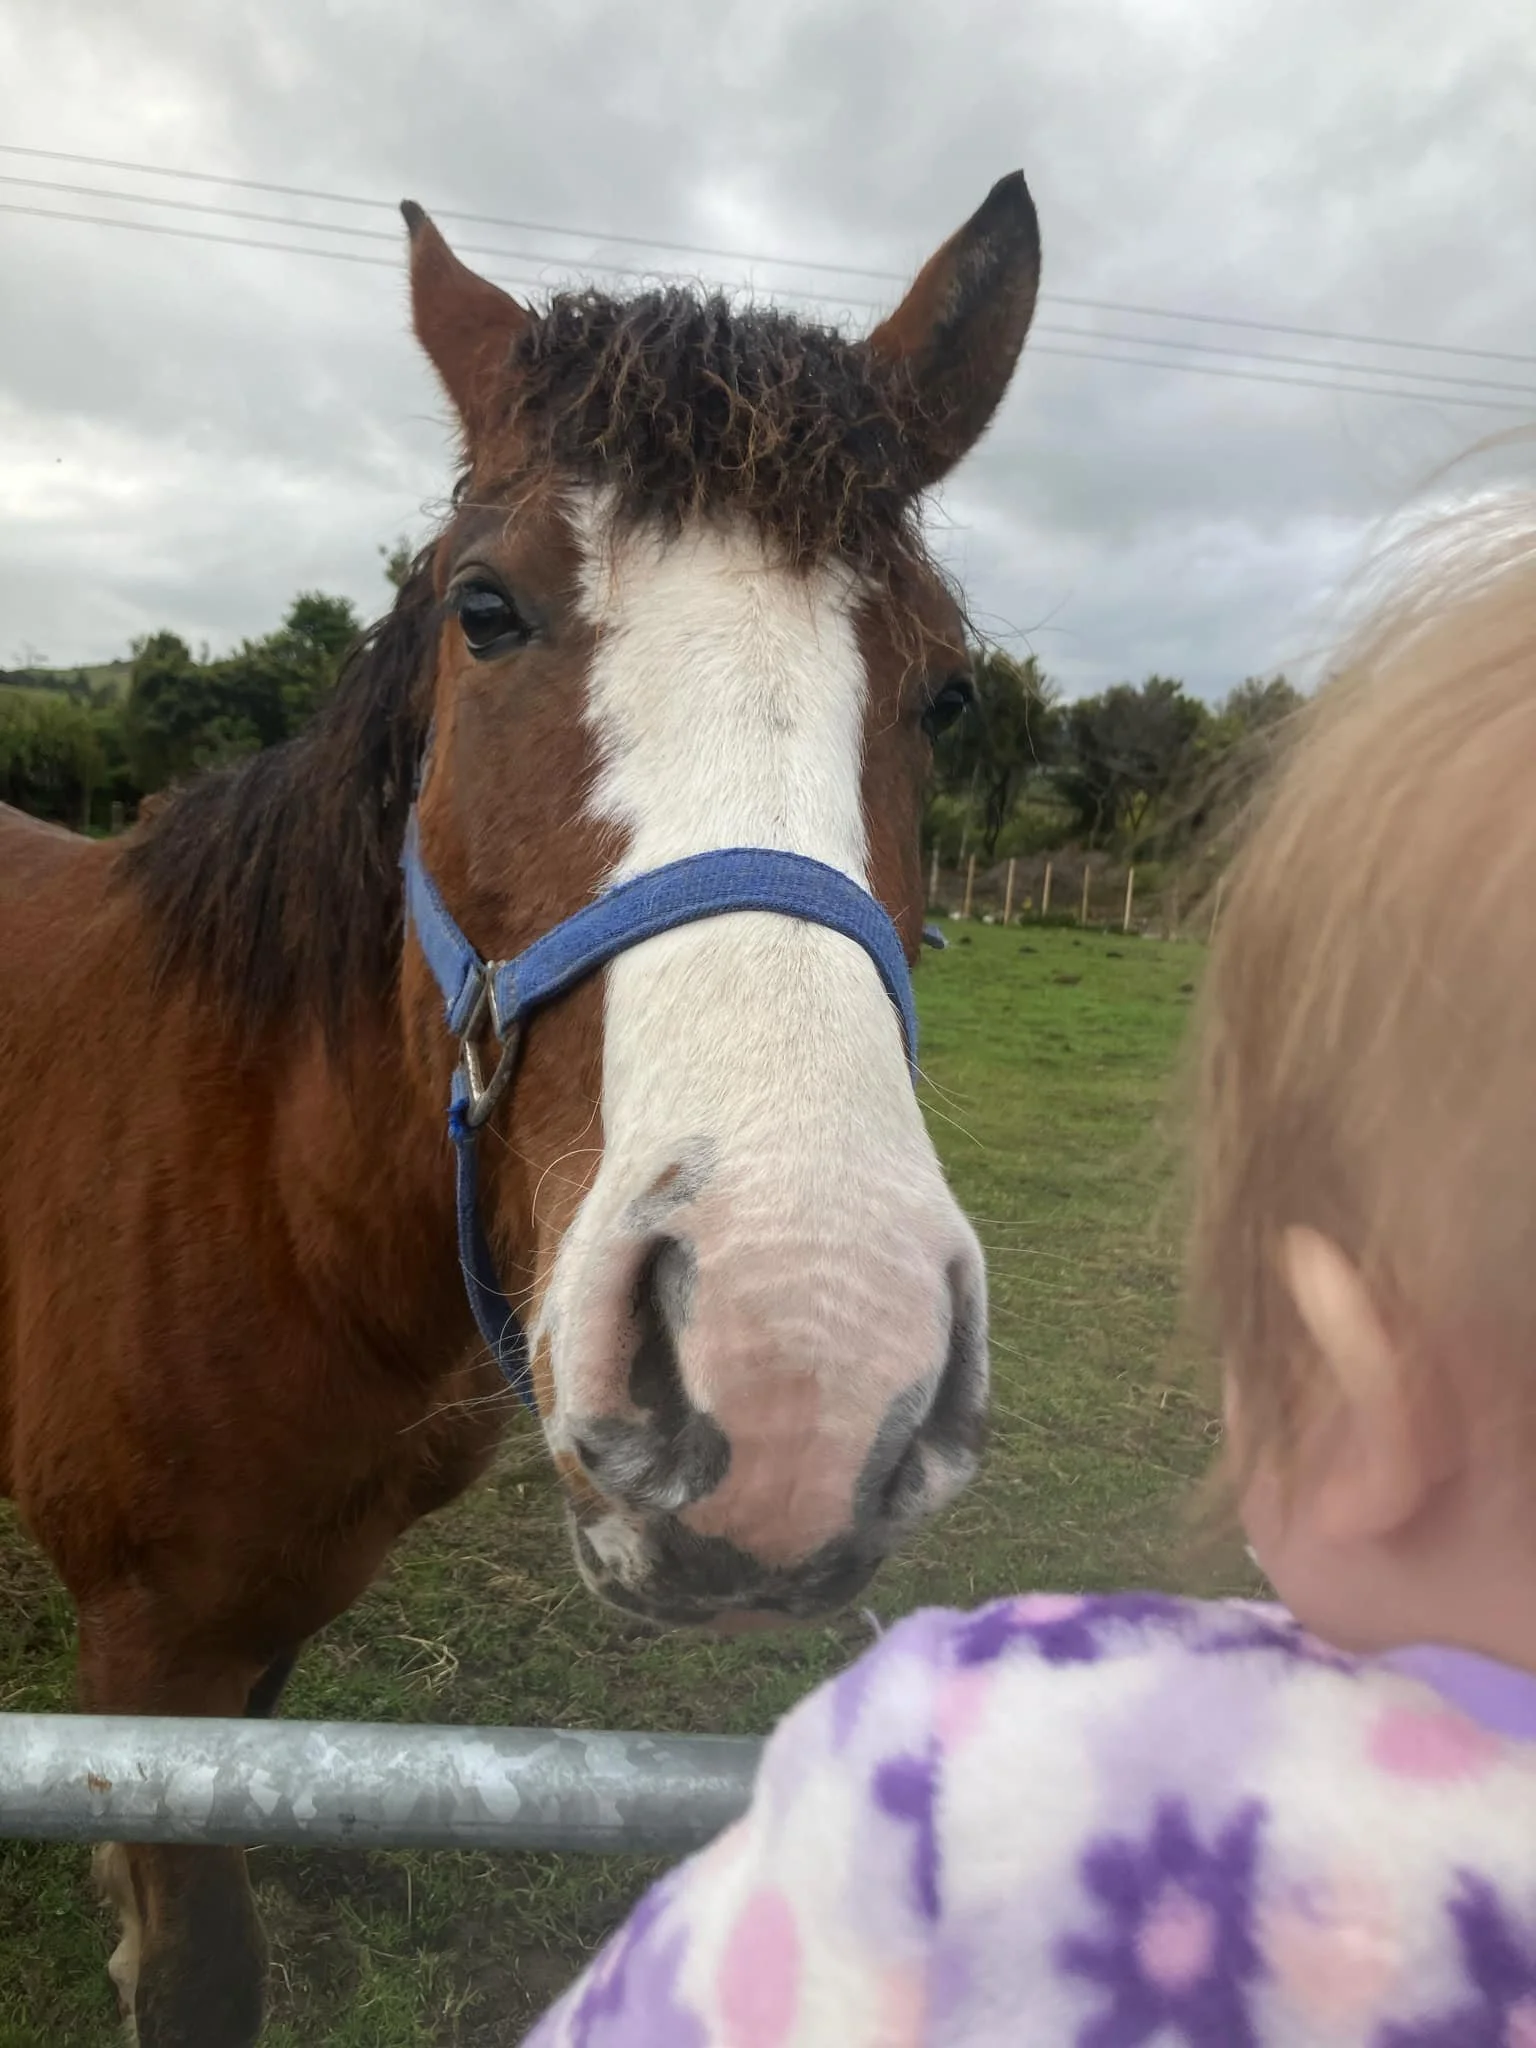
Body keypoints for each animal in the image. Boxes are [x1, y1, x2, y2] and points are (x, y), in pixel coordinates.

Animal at [0, 170, 1040, 2044]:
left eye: (948, 691)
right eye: (482, 611)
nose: (800, 1369)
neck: (264, 1191)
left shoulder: (250, 1648)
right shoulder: (145, 1648)